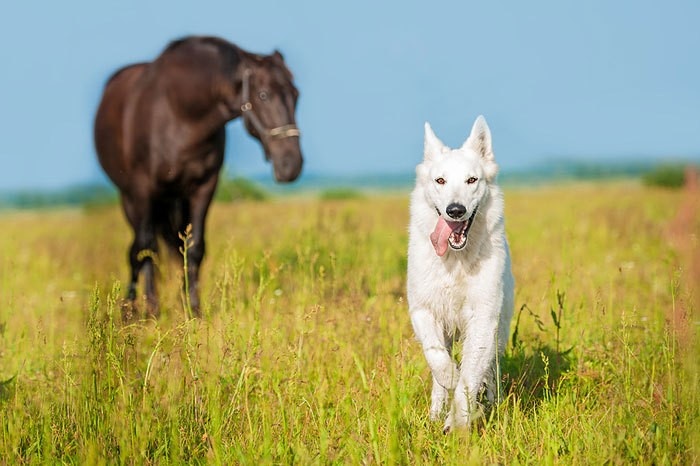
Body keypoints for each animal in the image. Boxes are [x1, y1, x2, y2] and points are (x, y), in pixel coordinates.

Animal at [93, 36, 300, 316]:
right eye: (264, 95)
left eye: (296, 95)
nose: (292, 164)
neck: (179, 114)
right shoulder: (142, 190)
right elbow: (144, 249)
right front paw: (141, 312)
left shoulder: (203, 187)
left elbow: (194, 248)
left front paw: (193, 310)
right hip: (131, 199)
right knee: (142, 247)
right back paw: (142, 305)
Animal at [404, 116, 516, 434]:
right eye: (440, 181)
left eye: (471, 180)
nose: (455, 210)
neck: (455, 261)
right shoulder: (423, 311)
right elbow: (439, 361)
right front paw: (451, 383)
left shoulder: (484, 317)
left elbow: (472, 374)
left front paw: (460, 421)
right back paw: (436, 411)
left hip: (499, 331)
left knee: (490, 369)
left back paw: (489, 401)